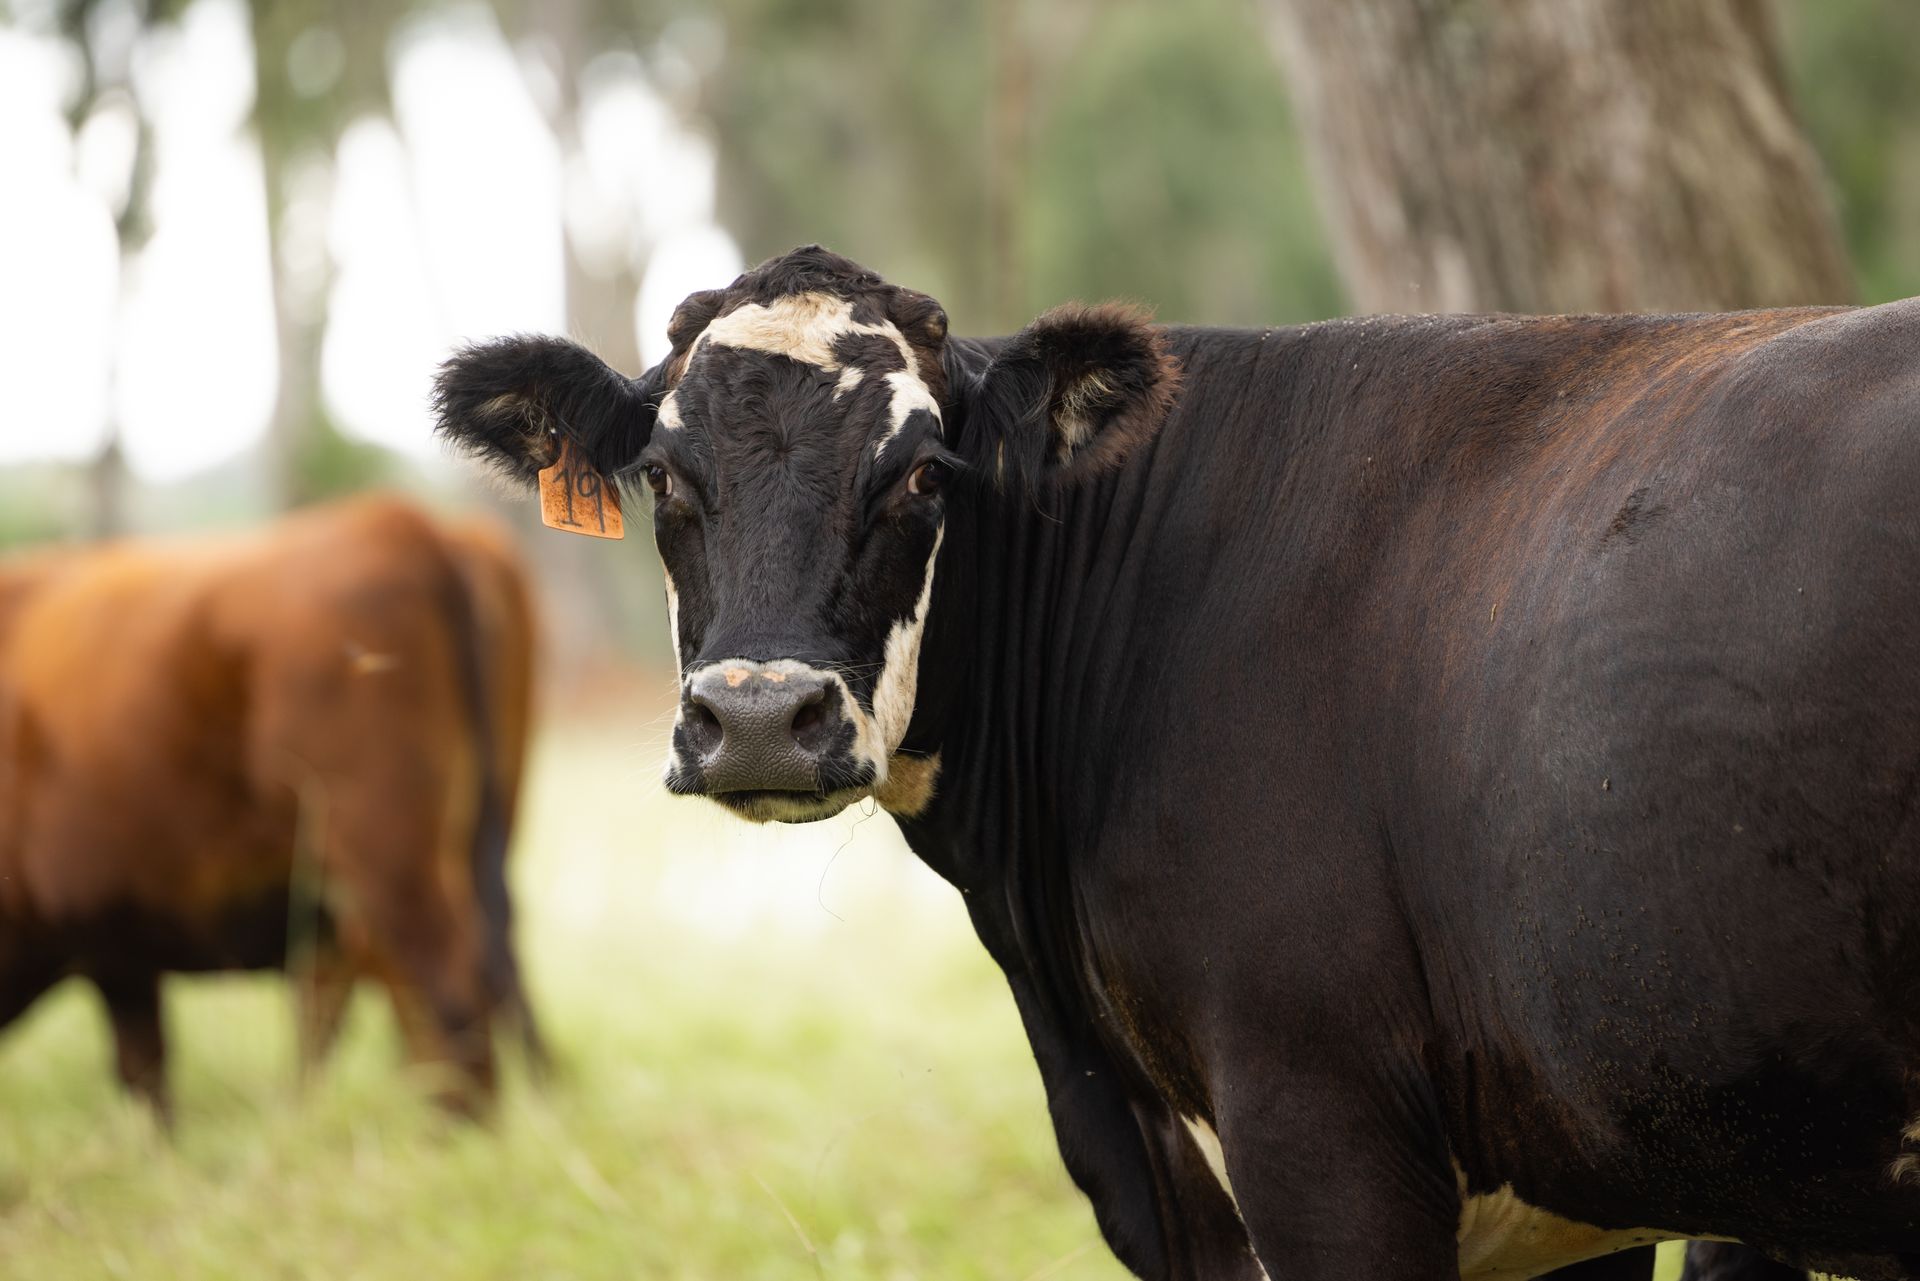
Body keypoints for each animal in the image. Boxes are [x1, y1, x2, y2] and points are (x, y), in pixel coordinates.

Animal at [0, 496, 542, 1122]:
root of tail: (397, 520)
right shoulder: (121, 954)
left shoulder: (107, 939)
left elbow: (146, 1080)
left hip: (390, 861)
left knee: (444, 987)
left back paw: (454, 1132)